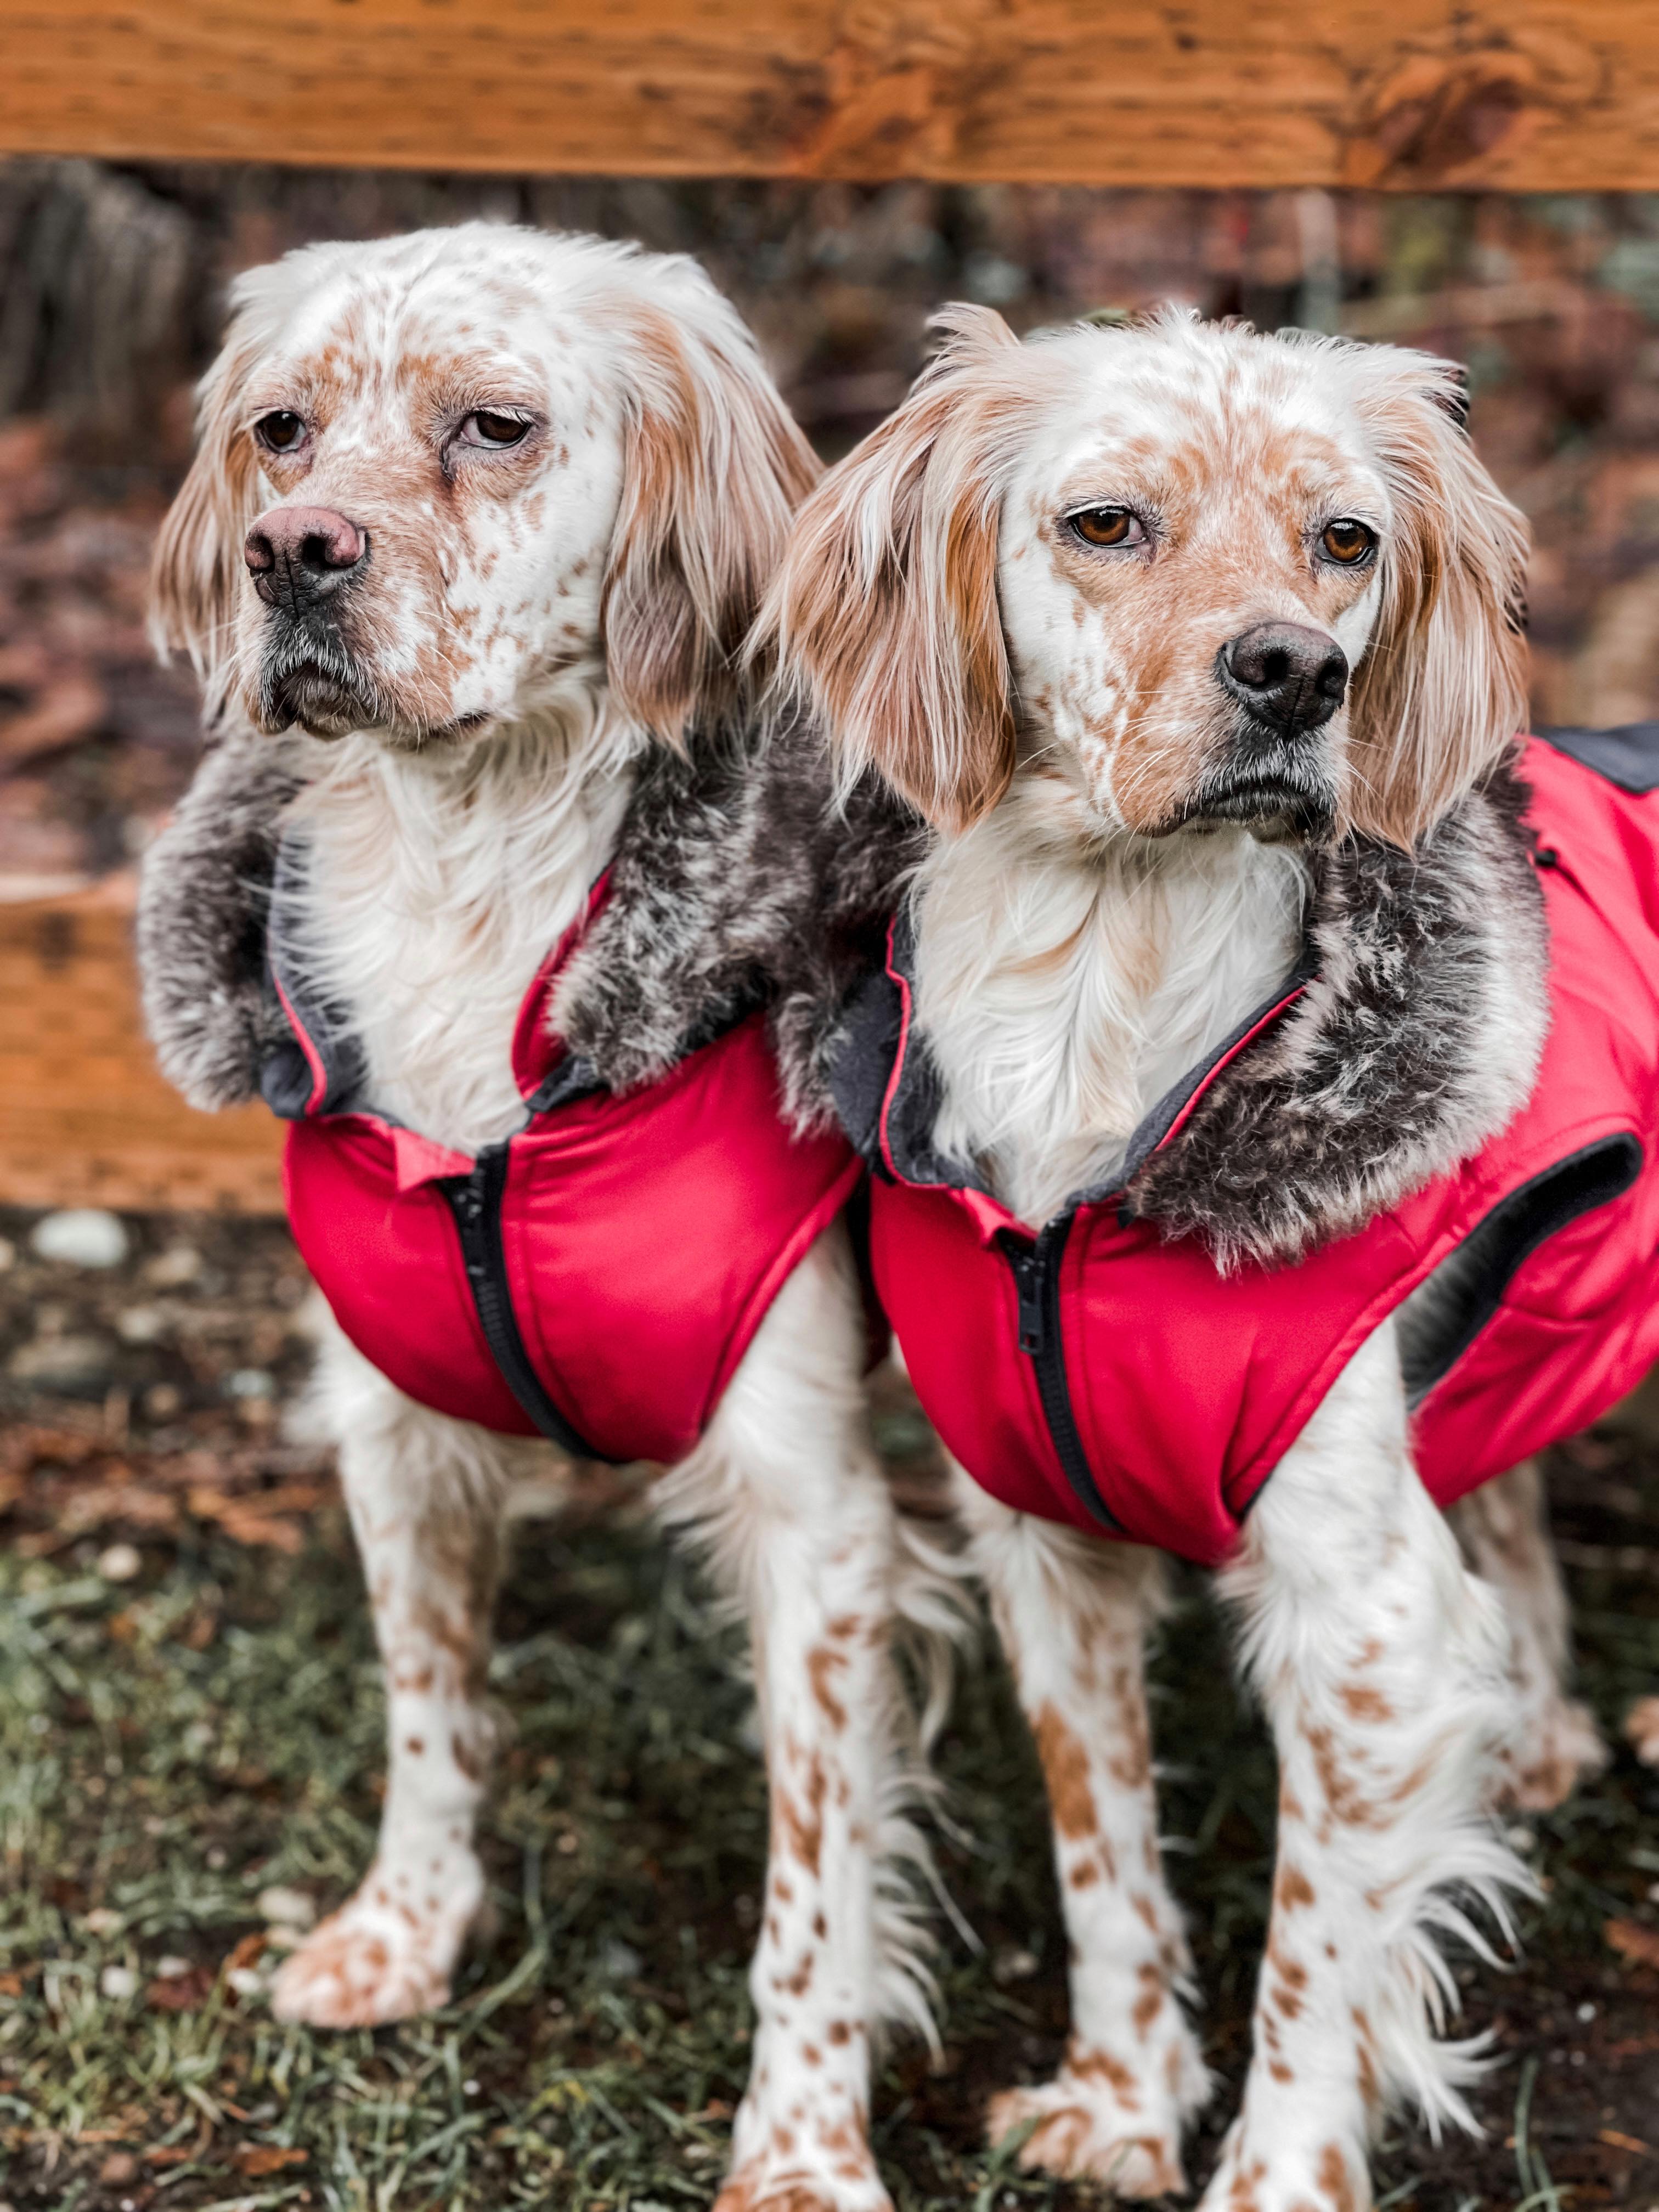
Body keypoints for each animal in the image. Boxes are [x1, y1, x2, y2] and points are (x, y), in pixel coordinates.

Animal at [136, 220, 946, 2212]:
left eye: (491, 427)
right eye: (280, 431)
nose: (290, 552)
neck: (472, 892)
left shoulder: (817, 1520)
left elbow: (815, 1890)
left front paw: (802, 2146)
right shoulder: (391, 1428)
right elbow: (429, 1706)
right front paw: (403, 1931)